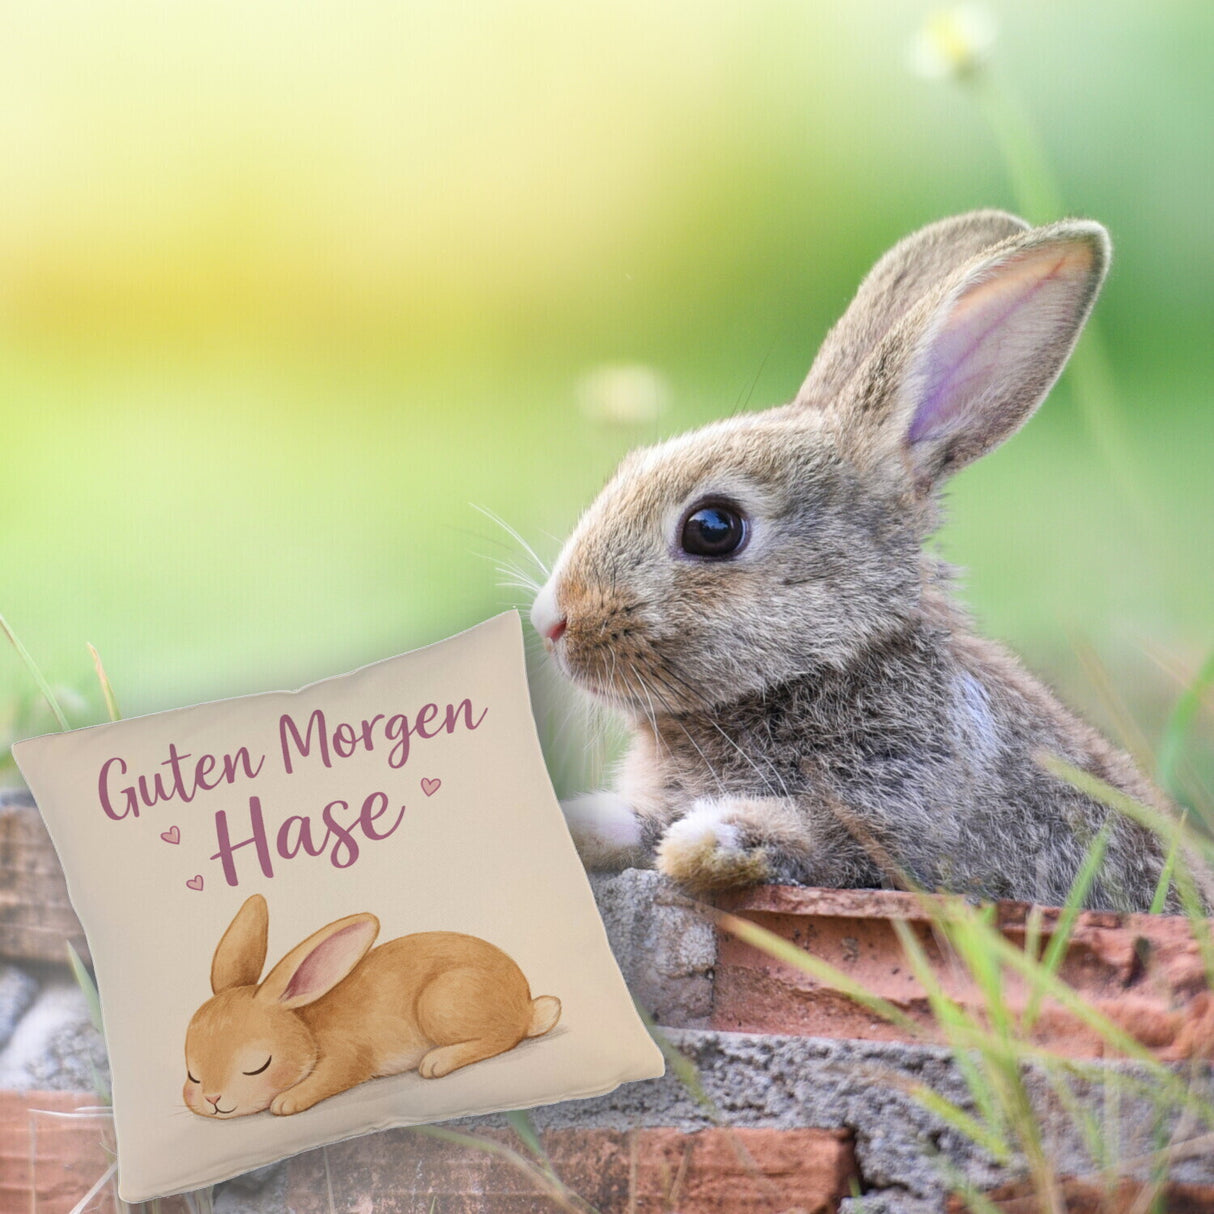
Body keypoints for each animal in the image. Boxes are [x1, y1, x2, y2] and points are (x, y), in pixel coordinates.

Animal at [183, 894, 561, 1117]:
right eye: (192, 1075)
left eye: (258, 1066)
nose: (211, 1100)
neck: (307, 1028)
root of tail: (525, 1005)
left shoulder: (347, 1057)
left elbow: (329, 1077)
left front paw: (287, 1101)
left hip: (442, 1003)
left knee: (504, 1036)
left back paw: (437, 1062)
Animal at [530, 209, 1181, 913]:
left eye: (713, 528)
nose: (551, 620)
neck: (828, 663)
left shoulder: (898, 825)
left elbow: (806, 842)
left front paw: (708, 843)